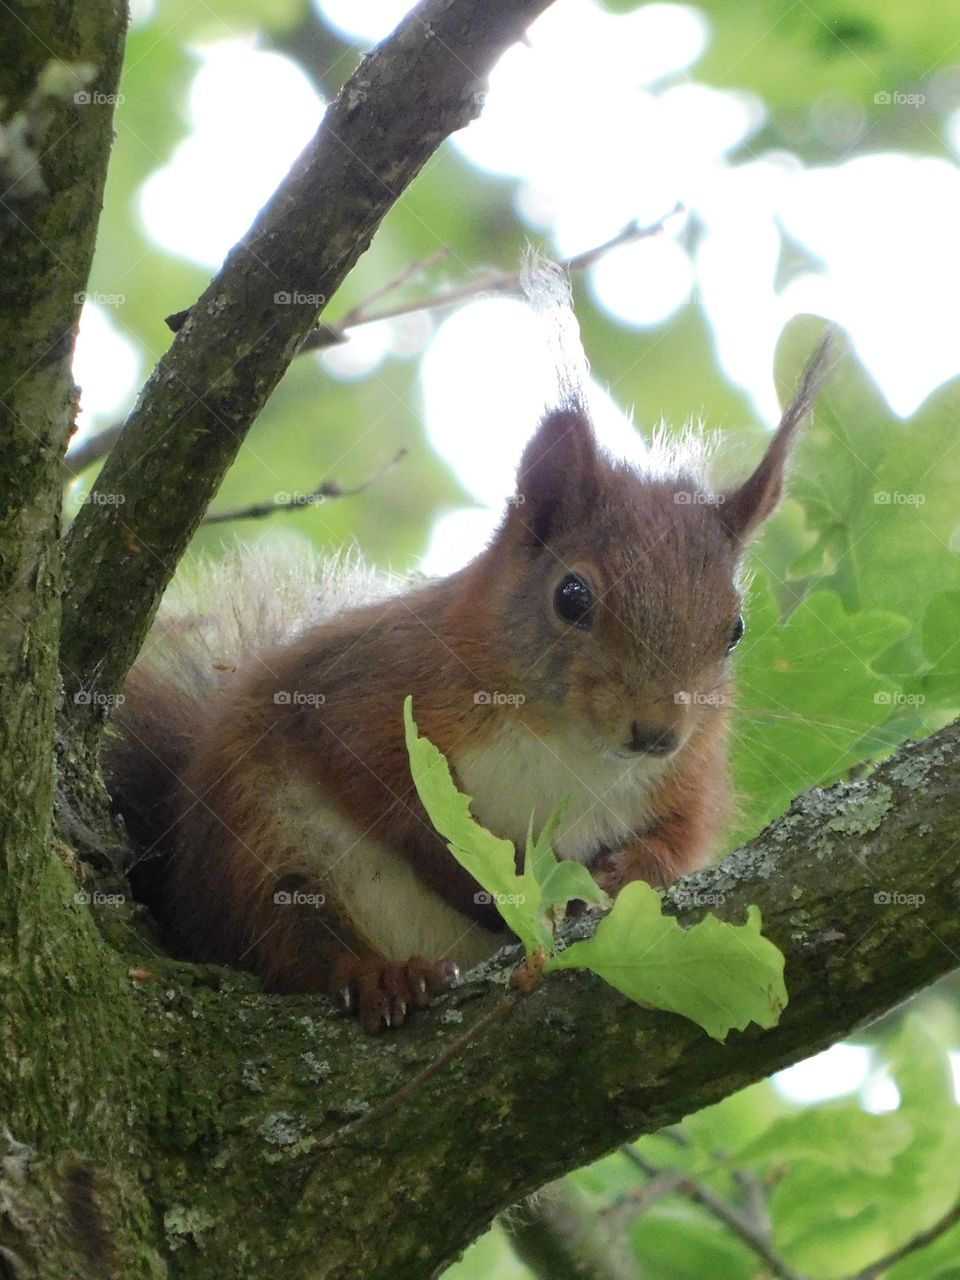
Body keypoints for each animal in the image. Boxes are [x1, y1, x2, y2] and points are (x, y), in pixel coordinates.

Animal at [105, 336, 830, 1032]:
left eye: (735, 629)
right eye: (572, 596)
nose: (656, 733)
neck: (566, 743)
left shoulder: (688, 777)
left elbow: (682, 842)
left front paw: (629, 871)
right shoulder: (369, 689)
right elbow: (376, 786)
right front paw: (479, 888)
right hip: (259, 840)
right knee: (293, 942)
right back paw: (379, 975)